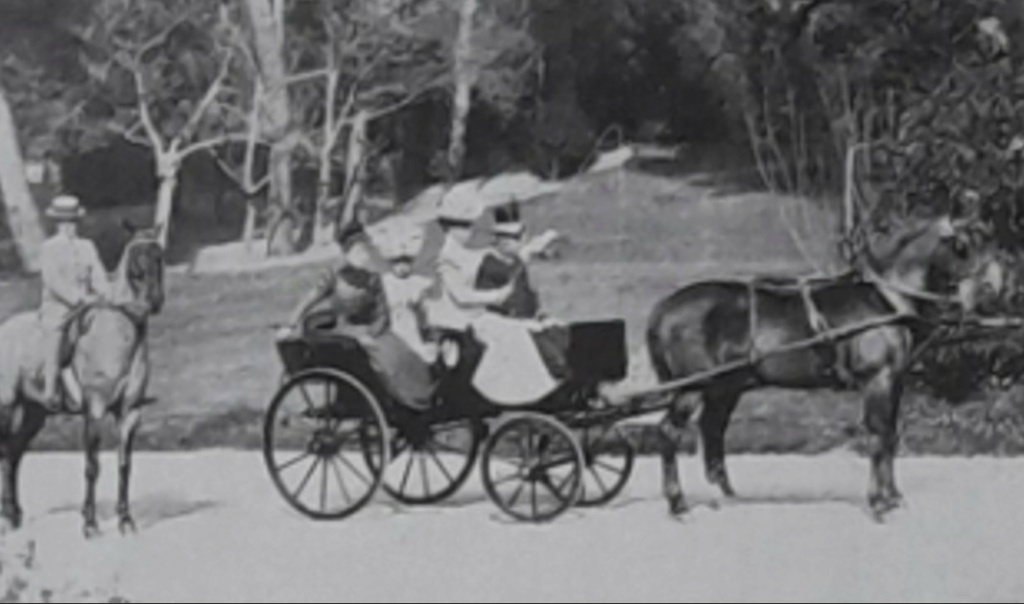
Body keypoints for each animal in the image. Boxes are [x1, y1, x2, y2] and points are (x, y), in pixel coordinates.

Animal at [0, 225, 162, 536]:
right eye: (136, 257)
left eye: (159, 254)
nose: (155, 301)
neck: (119, 335)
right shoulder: (95, 411)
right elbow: (92, 466)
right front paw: (89, 524)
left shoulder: (131, 412)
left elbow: (124, 464)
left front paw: (126, 521)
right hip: (6, 407)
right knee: (5, 451)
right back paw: (7, 517)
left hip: (35, 413)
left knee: (13, 453)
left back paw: (14, 515)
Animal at [643, 217, 987, 520]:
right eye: (963, 245)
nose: (989, 287)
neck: (885, 300)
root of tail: (664, 308)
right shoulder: (878, 379)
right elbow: (878, 435)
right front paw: (878, 502)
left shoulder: (894, 381)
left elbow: (891, 435)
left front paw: (893, 497)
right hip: (692, 386)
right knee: (669, 432)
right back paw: (678, 504)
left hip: (724, 386)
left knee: (712, 429)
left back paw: (725, 495)